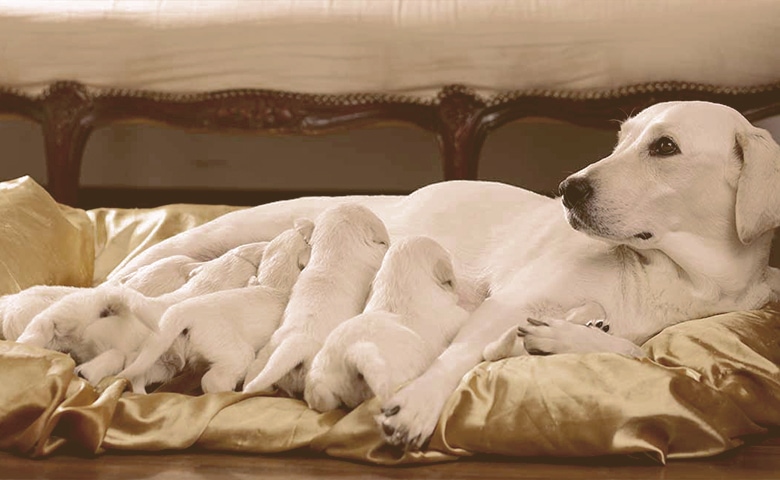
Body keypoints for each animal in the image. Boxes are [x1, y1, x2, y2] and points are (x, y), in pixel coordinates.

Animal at [119, 221, 314, 394]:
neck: (274, 283)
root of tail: (183, 311)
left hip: (159, 359)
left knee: (140, 374)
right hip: (233, 350)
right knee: (213, 381)